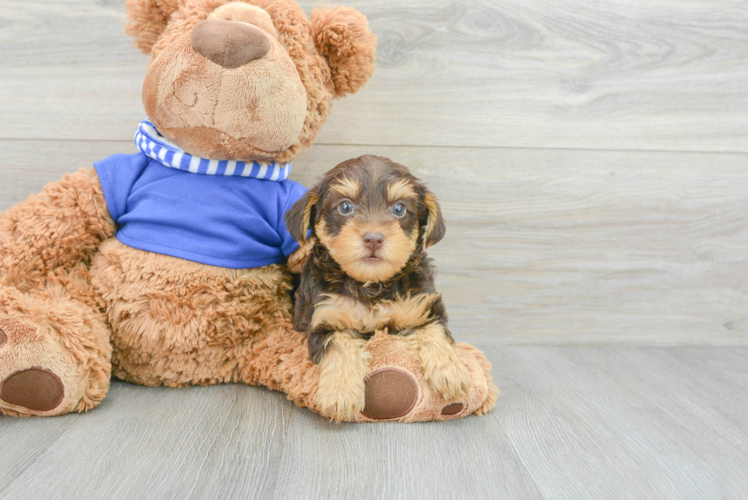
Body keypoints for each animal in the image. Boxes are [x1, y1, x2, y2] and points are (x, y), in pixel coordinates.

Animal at [286, 154, 474, 420]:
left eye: (399, 209)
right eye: (345, 207)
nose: (373, 238)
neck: (372, 285)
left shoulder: (422, 306)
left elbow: (433, 329)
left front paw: (450, 369)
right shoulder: (324, 318)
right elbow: (340, 344)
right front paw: (339, 394)